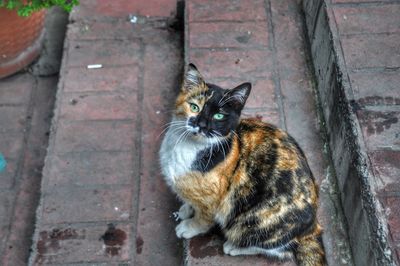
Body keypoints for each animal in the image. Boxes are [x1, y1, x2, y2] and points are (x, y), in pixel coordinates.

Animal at [159, 63, 324, 264]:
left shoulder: (212, 200)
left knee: (282, 250)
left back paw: (233, 247)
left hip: (252, 221)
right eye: (194, 107)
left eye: (219, 116)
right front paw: (185, 209)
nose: (202, 125)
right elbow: (191, 201)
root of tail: (313, 228)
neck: (187, 147)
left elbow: (203, 219)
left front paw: (188, 227)